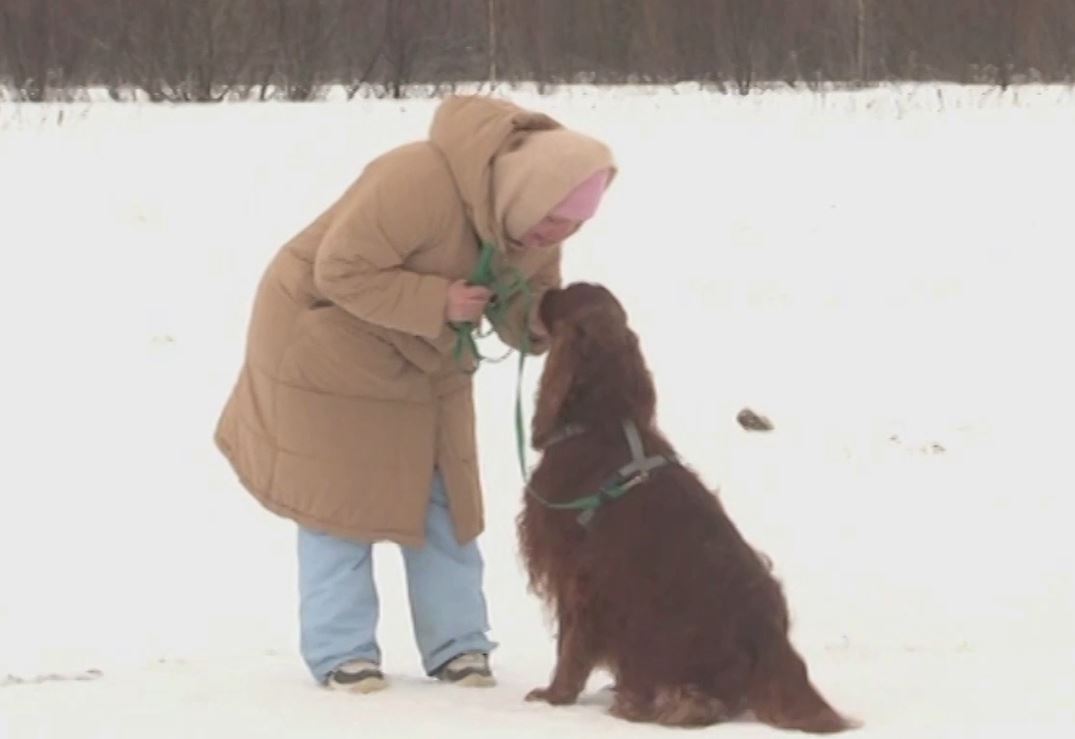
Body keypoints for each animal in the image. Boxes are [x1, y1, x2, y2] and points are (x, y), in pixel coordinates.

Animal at [516, 283, 851, 735]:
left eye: (566, 295)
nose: (545, 288)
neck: (600, 422)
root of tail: (770, 639)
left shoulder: (577, 577)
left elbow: (569, 647)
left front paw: (554, 696)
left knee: (697, 703)